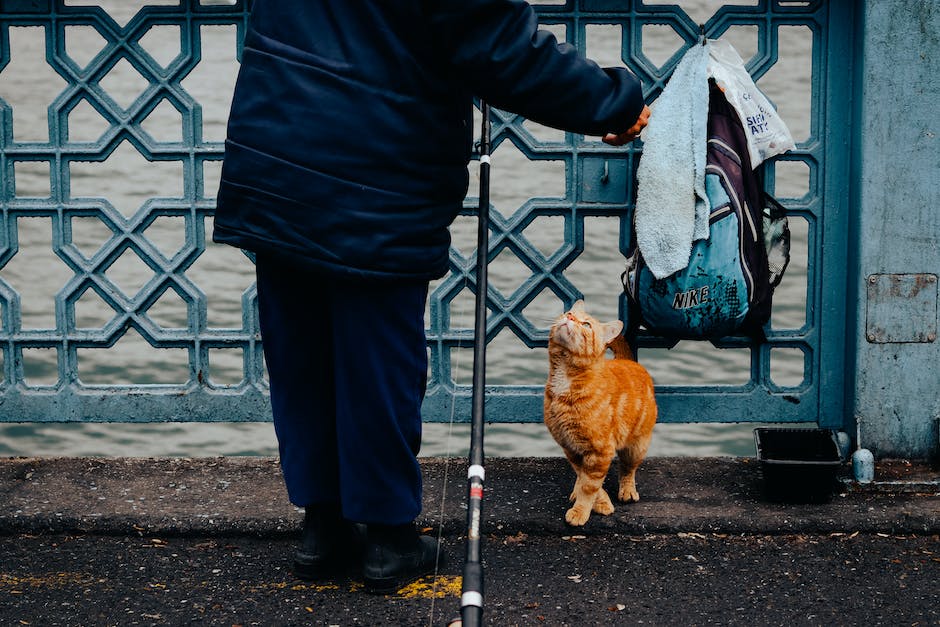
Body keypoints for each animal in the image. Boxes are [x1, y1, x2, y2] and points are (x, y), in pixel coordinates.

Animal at [540, 302, 656, 528]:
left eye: (586, 324)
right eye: (569, 313)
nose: (570, 318)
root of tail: (629, 361)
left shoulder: (600, 450)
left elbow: (590, 485)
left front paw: (582, 511)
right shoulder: (571, 447)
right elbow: (586, 479)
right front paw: (598, 502)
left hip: (636, 446)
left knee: (628, 470)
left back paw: (627, 489)